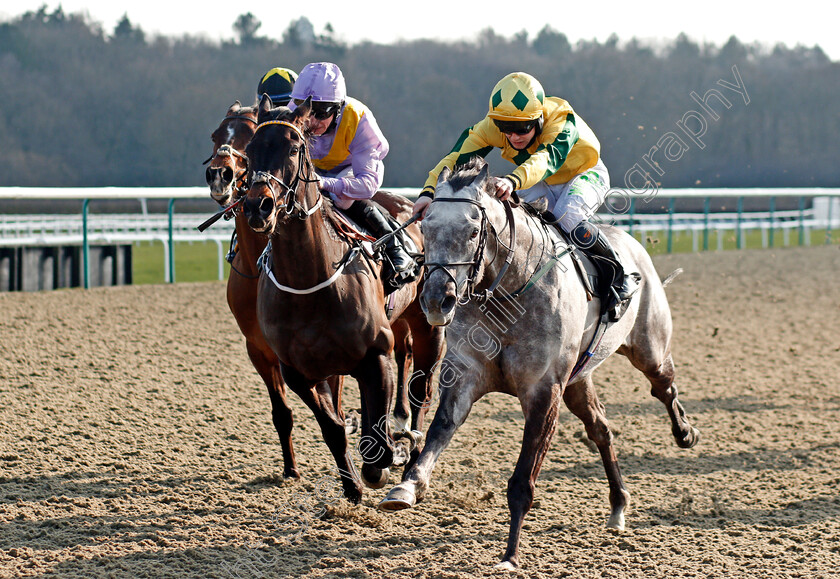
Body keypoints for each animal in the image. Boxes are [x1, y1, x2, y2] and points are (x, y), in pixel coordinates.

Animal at [240, 96, 442, 502]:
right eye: (250, 150)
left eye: (294, 148)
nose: (258, 206)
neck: (310, 282)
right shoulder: (297, 371)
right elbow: (333, 428)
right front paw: (351, 490)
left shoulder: (376, 355)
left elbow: (377, 437)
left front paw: (387, 460)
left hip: (429, 327)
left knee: (420, 393)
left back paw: (411, 458)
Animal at [378, 159, 700, 572]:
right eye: (426, 225)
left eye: (472, 230)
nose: (436, 300)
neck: (509, 292)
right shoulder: (466, 376)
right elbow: (439, 430)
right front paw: (406, 485)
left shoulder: (544, 392)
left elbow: (522, 481)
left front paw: (510, 554)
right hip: (578, 381)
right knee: (601, 429)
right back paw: (618, 505)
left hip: (648, 348)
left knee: (664, 385)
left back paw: (685, 433)